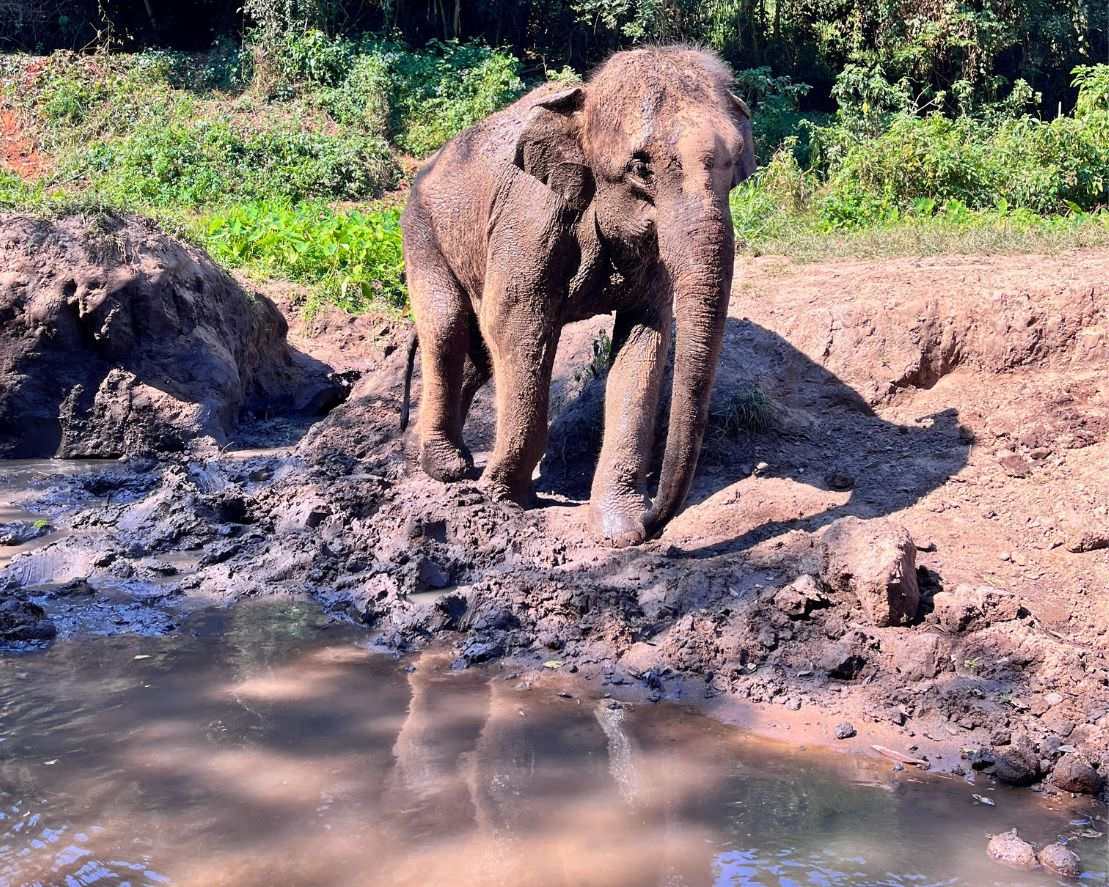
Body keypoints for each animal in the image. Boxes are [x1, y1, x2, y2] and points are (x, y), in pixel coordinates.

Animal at [400, 46, 756, 546]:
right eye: (641, 168)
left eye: (737, 169)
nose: (653, 522)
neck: (583, 104)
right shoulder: (530, 220)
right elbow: (516, 325)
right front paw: (504, 496)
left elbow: (646, 339)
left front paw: (619, 530)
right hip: (422, 233)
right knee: (449, 328)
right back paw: (447, 468)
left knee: (477, 357)